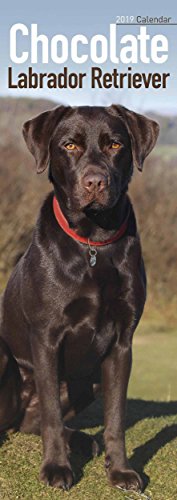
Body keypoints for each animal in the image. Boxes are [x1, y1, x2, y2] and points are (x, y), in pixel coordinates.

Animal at [0, 103, 159, 490]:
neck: (93, 242)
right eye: (70, 145)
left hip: (87, 381)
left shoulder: (121, 343)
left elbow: (116, 418)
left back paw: (86, 441)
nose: (95, 182)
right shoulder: (46, 336)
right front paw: (57, 467)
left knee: (35, 423)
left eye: (115, 144)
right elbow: (53, 417)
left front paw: (120, 471)